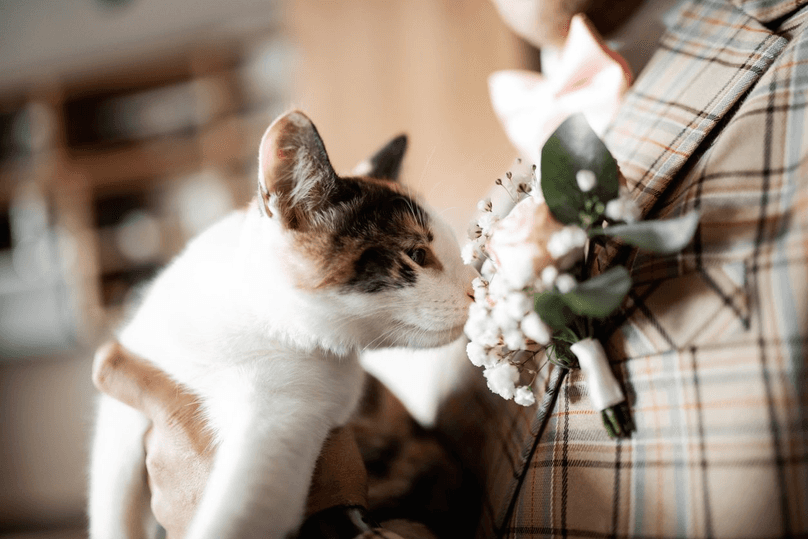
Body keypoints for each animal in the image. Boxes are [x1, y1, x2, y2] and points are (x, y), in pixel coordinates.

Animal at [90, 110, 474, 539]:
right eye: (417, 254)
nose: (477, 288)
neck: (252, 315)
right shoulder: (127, 386)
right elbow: (114, 505)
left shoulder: (284, 416)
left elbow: (244, 508)